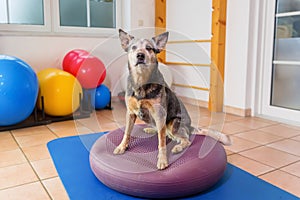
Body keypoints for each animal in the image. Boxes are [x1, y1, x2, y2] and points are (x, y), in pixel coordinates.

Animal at [113, 29, 231, 170]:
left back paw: (178, 147)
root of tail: (190, 127)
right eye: (134, 47)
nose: (140, 55)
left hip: (173, 124)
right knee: (165, 133)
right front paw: (121, 147)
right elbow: (126, 133)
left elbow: (161, 143)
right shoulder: (130, 113)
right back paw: (152, 129)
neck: (142, 82)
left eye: (149, 48)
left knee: (184, 139)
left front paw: (162, 160)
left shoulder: (160, 114)